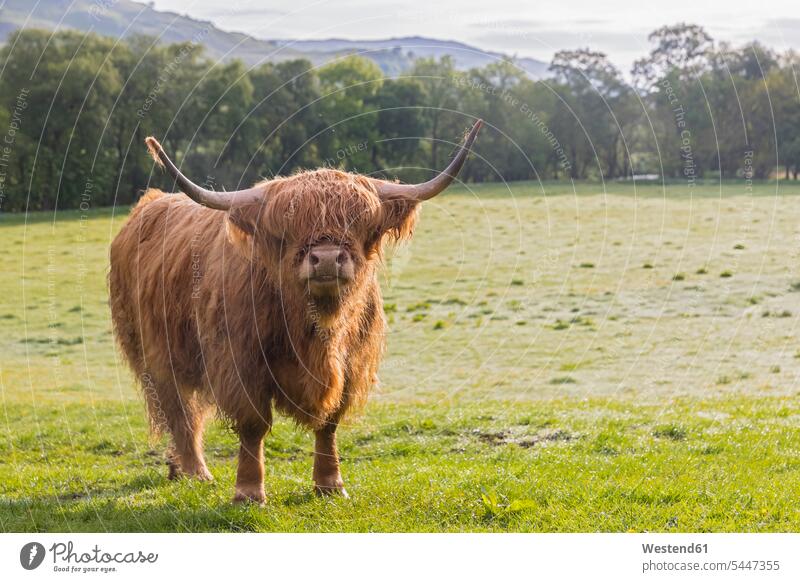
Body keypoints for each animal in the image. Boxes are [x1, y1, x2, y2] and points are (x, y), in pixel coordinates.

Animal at [108, 121, 482, 504]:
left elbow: (329, 422)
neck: (317, 331)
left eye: (360, 223)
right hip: (154, 353)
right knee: (179, 411)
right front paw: (249, 492)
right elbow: (253, 424)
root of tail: (152, 202)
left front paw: (330, 485)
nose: (327, 259)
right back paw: (196, 472)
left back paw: (177, 469)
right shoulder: (240, 362)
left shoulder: (351, 363)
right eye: (287, 229)